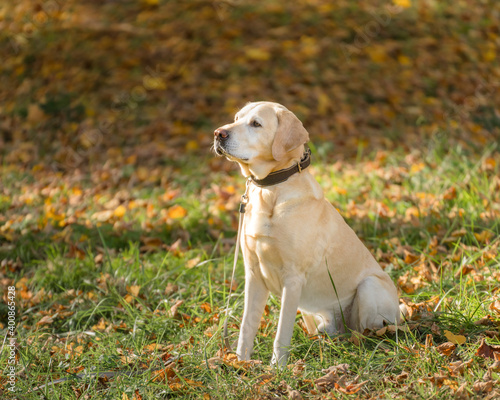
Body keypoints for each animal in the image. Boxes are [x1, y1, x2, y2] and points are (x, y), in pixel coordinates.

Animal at [213, 102, 400, 366]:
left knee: (370, 332)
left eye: (256, 123)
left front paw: (277, 369)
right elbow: (246, 326)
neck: (270, 190)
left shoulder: (293, 279)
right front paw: (240, 363)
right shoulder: (253, 275)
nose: (218, 133)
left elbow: (281, 333)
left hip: (370, 287)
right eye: (236, 118)